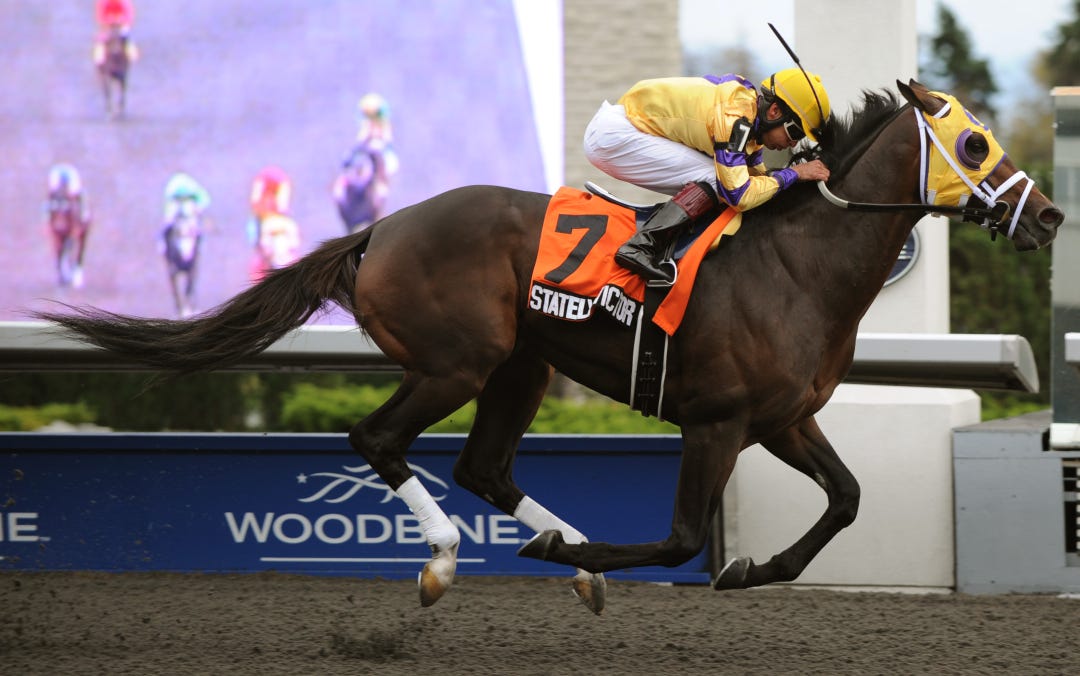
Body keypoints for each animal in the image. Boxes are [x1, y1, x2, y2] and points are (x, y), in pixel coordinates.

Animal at [35, 81, 1063, 615]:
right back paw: (455, 557)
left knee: (483, 466)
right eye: (975, 143)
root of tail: (381, 229)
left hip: (519, 365)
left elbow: (845, 500)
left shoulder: (782, 418)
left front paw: (751, 568)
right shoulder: (717, 421)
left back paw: (559, 546)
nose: (1049, 215)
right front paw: (622, 557)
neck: (796, 263)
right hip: (456, 359)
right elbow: (681, 536)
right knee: (381, 443)